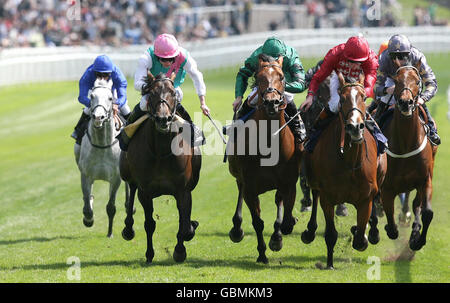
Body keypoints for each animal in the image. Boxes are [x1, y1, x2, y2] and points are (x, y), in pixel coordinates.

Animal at [74, 79, 125, 239]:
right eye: (91, 96)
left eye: (110, 98)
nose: (98, 117)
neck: (102, 145)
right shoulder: (86, 175)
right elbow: (86, 203)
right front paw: (88, 219)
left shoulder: (116, 178)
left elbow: (111, 207)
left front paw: (110, 233)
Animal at [119, 72, 200, 264]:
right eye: (152, 93)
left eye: (172, 92)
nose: (163, 119)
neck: (161, 151)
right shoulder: (145, 191)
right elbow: (149, 223)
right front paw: (149, 254)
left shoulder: (183, 190)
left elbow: (184, 224)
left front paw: (180, 250)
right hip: (126, 173)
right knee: (131, 188)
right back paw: (128, 229)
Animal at [229, 54, 302, 264]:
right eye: (259, 77)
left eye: (282, 77)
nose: (272, 102)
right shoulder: (250, 186)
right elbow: (257, 222)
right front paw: (262, 254)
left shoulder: (288, 182)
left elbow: (284, 219)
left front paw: (278, 237)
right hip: (240, 178)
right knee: (240, 192)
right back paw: (236, 229)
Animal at [298, 72, 386, 270]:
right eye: (343, 99)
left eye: (363, 97)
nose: (355, 127)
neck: (350, 162)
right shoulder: (328, 197)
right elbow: (331, 233)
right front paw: (329, 263)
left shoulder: (366, 198)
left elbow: (360, 239)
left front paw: (361, 231)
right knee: (314, 196)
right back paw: (309, 231)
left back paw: (373, 230)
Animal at [380, 60, 436, 251]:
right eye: (396, 81)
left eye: (418, 81)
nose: (406, 102)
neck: (405, 144)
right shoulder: (387, 187)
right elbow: (390, 220)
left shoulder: (424, 180)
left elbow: (427, 212)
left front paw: (417, 240)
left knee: (416, 204)